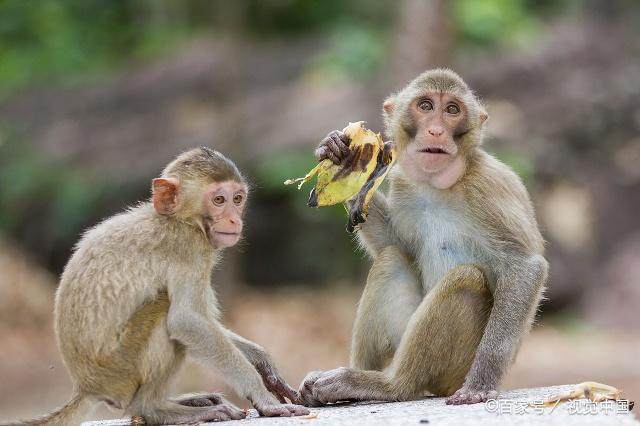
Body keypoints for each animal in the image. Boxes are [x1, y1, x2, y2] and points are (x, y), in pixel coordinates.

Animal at [5, 147, 308, 426]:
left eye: (237, 199)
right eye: (219, 200)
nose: (235, 219)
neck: (181, 220)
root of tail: (86, 387)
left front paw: (262, 363)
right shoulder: (189, 248)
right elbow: (187, 321)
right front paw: (263, 397)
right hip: (120, 370)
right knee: (164, 313)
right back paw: (157, 410)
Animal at [300, 69, 544, 406]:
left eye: (452, 110)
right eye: (426, 106)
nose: (437, 131)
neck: (438, 186)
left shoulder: (490, 186)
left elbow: (525, 266)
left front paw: (481, 382)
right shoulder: (404, 183)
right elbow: (394, 242)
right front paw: (341, 156)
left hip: (454, 370)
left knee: (466, 279)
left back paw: (388, 385)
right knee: (391, 258)